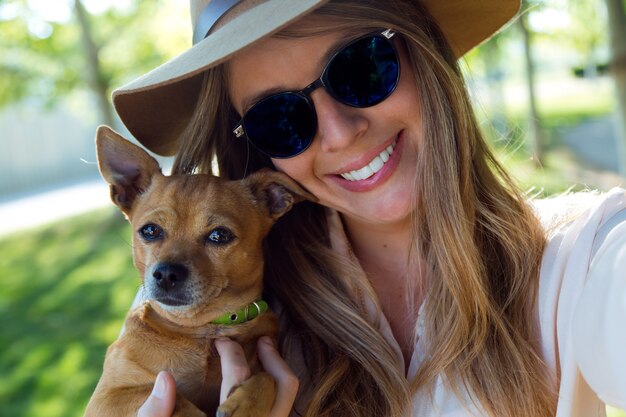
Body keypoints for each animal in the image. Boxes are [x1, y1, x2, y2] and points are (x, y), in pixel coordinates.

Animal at [84, 127, 312, 416]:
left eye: (219, 235)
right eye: (150, 230)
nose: (166, 273)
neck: (203, 330)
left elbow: (268, 378)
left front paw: (245, 405)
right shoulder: (107, 398)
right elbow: (175, 400)